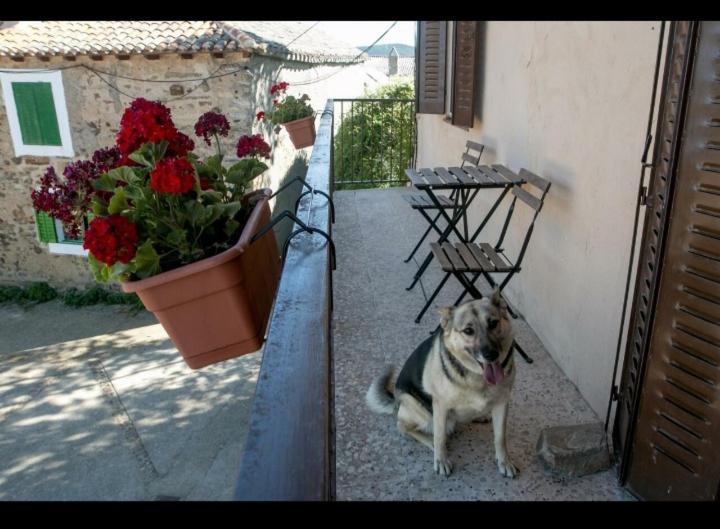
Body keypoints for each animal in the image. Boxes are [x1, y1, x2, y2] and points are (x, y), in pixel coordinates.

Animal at [366, 290, 516, 476]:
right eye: (468, 331)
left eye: (493, 323)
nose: (491, 355)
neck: (477, 377)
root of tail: (396, 401)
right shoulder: (441, 406)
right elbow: (439, 437)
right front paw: (441, 460)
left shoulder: (502, 403)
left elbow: (500, 438)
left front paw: (504, 462)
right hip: (416, 407)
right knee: (404, 426)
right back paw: (428, 439)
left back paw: (480, 416)